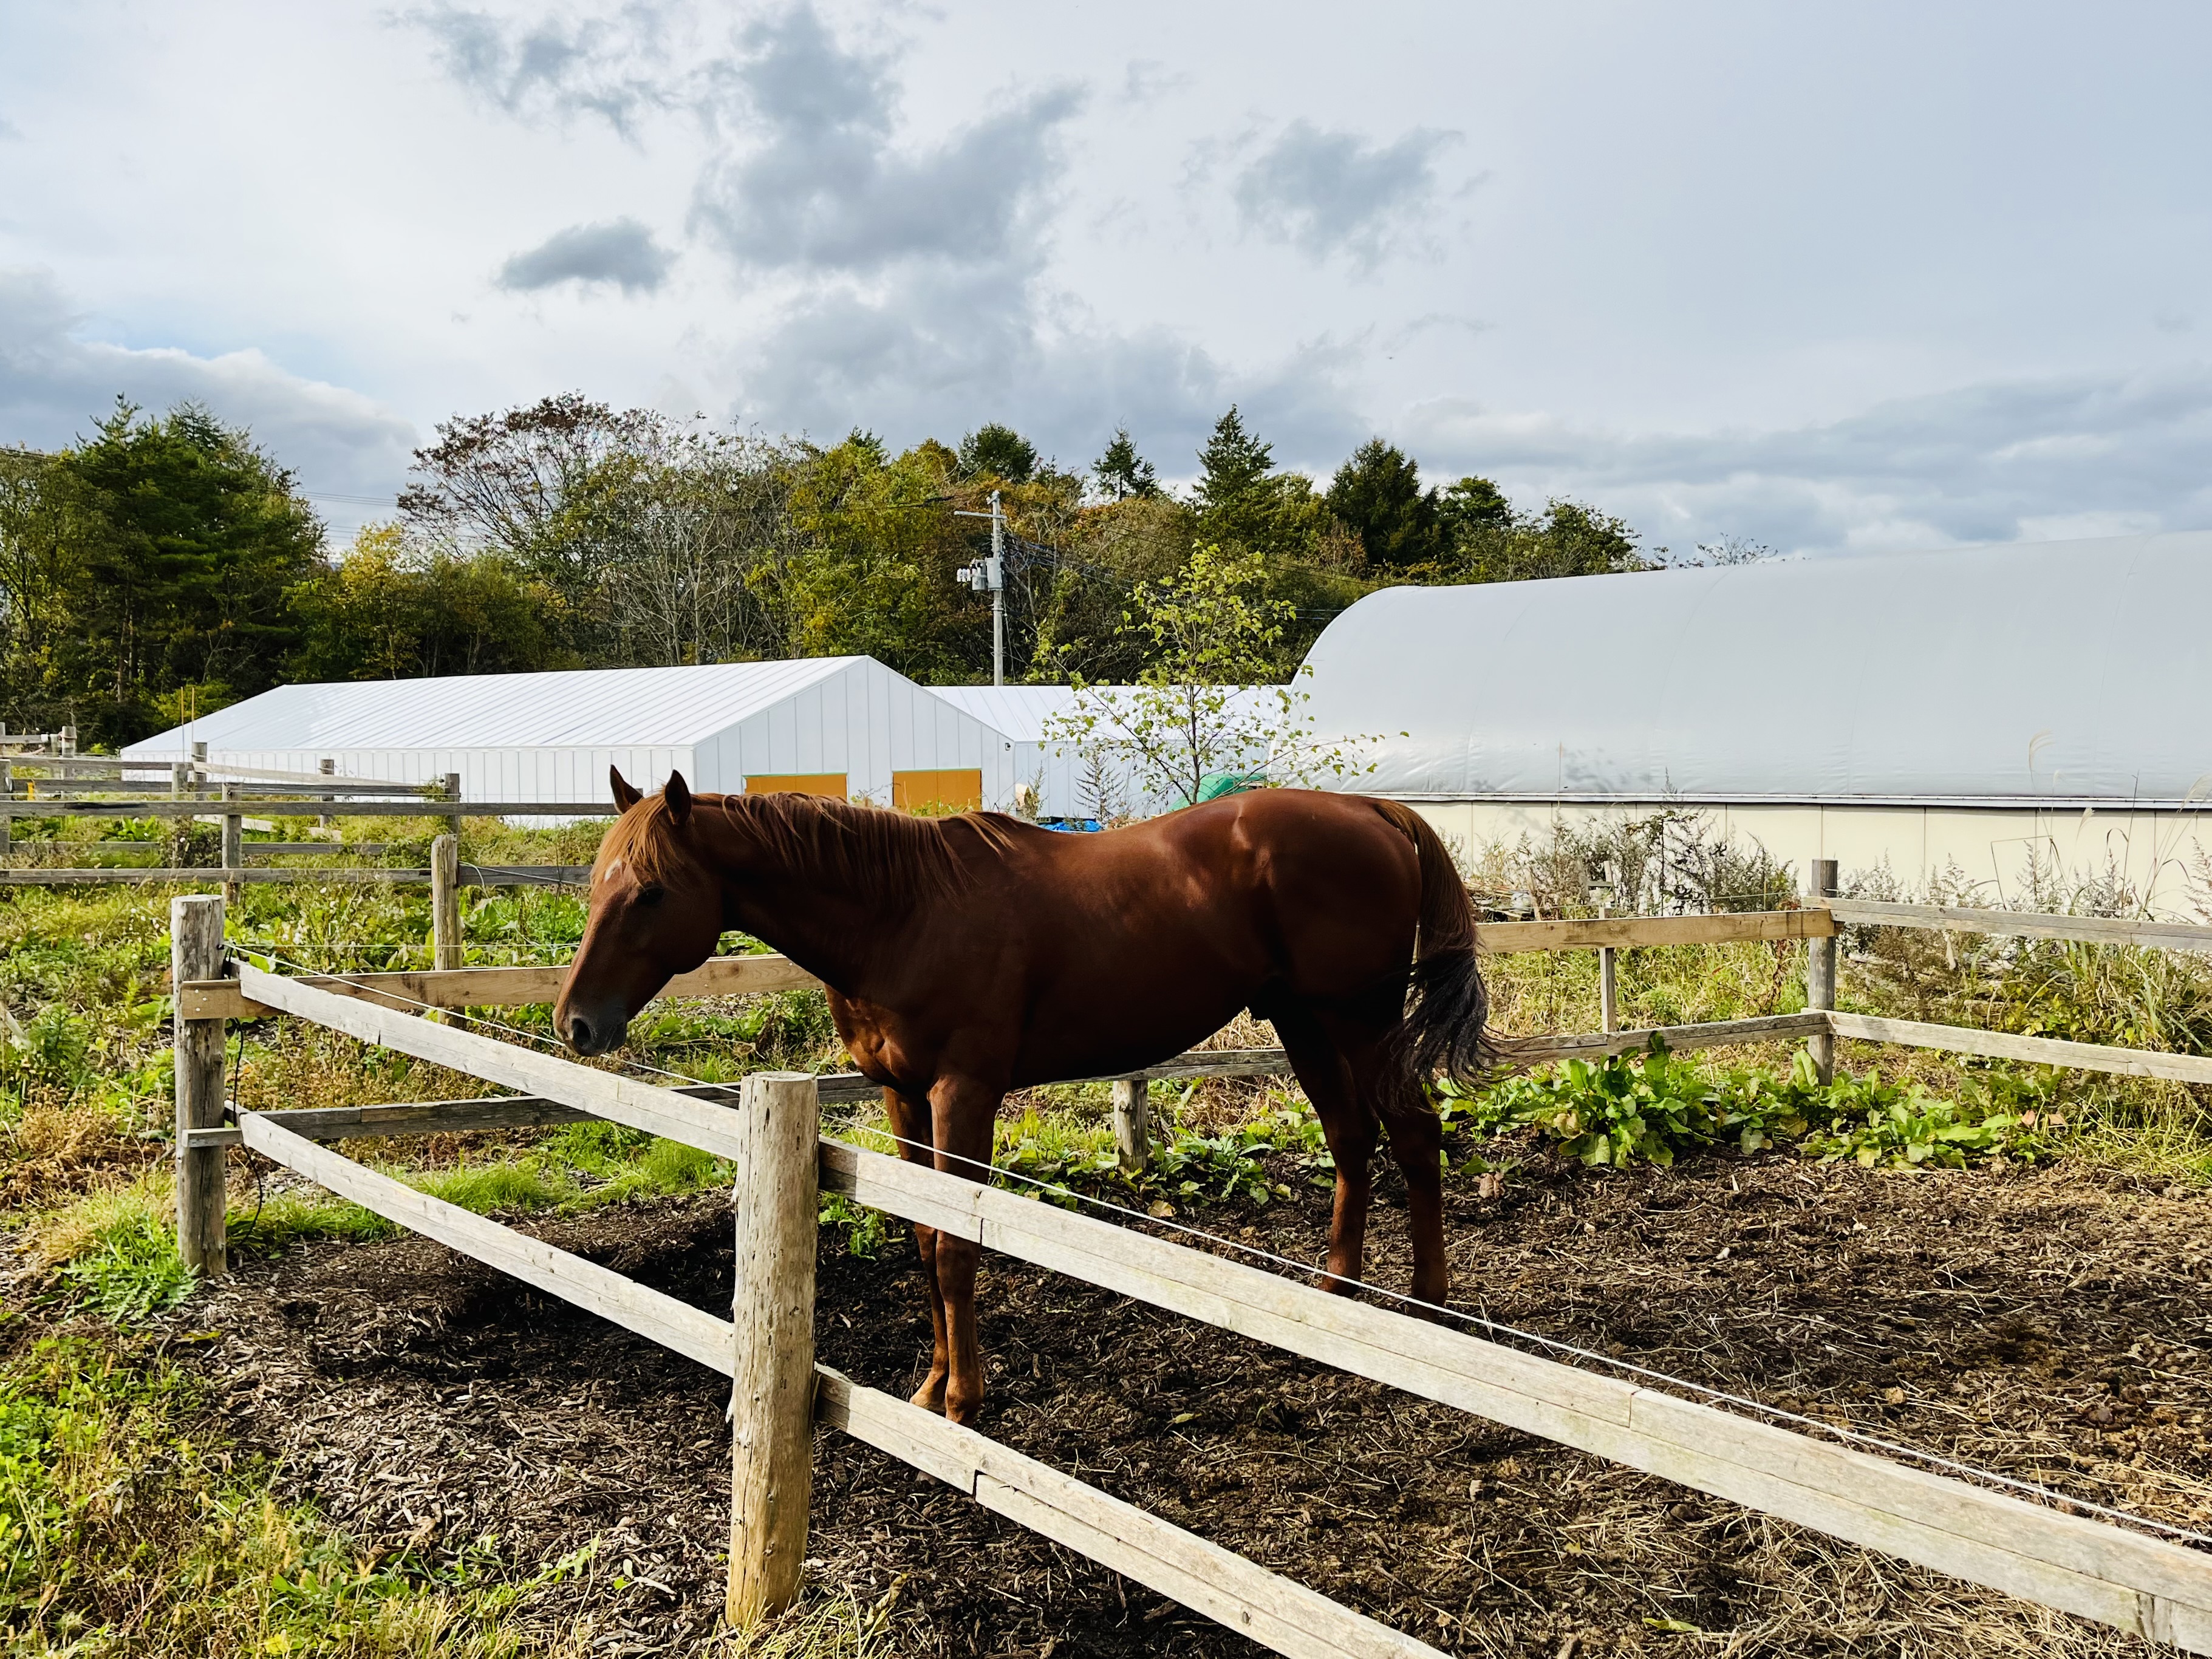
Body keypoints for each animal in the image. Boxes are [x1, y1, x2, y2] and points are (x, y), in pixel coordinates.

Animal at [557, 774, 1486, 1424]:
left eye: (649, 890)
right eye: (597, 882)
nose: (575, 1022)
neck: (899, 912)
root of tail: (1371, 810)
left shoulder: (963, 1095)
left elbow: (957, 1247)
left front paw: (963, 1401)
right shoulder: (902, 1097)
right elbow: (923, 1238)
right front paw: (930, 1386)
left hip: (1360, 1020)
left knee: (1411, 1132)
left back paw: (1427, 1309)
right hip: (1303, 1020)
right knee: (1350, 1138)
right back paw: (1335, 1303)